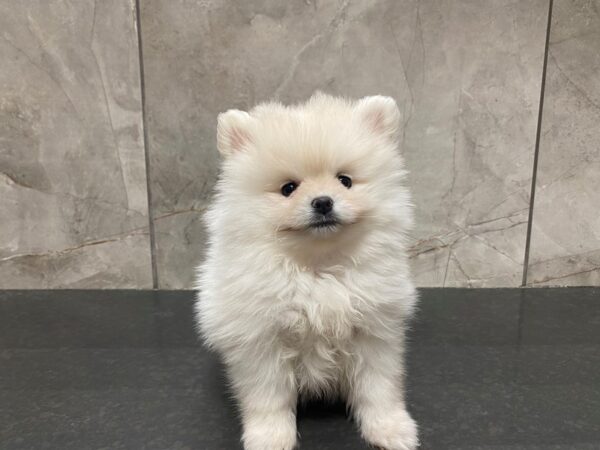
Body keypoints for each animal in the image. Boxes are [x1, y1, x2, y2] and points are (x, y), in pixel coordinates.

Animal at [196, 92, 418, 450]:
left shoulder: (375, 332)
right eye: (288, 188)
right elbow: (269, 398)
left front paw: (390, 429)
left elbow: (378, 387)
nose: (323, 201)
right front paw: (270, 437)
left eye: (345, 180)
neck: (318, 267)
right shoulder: (262, 341)